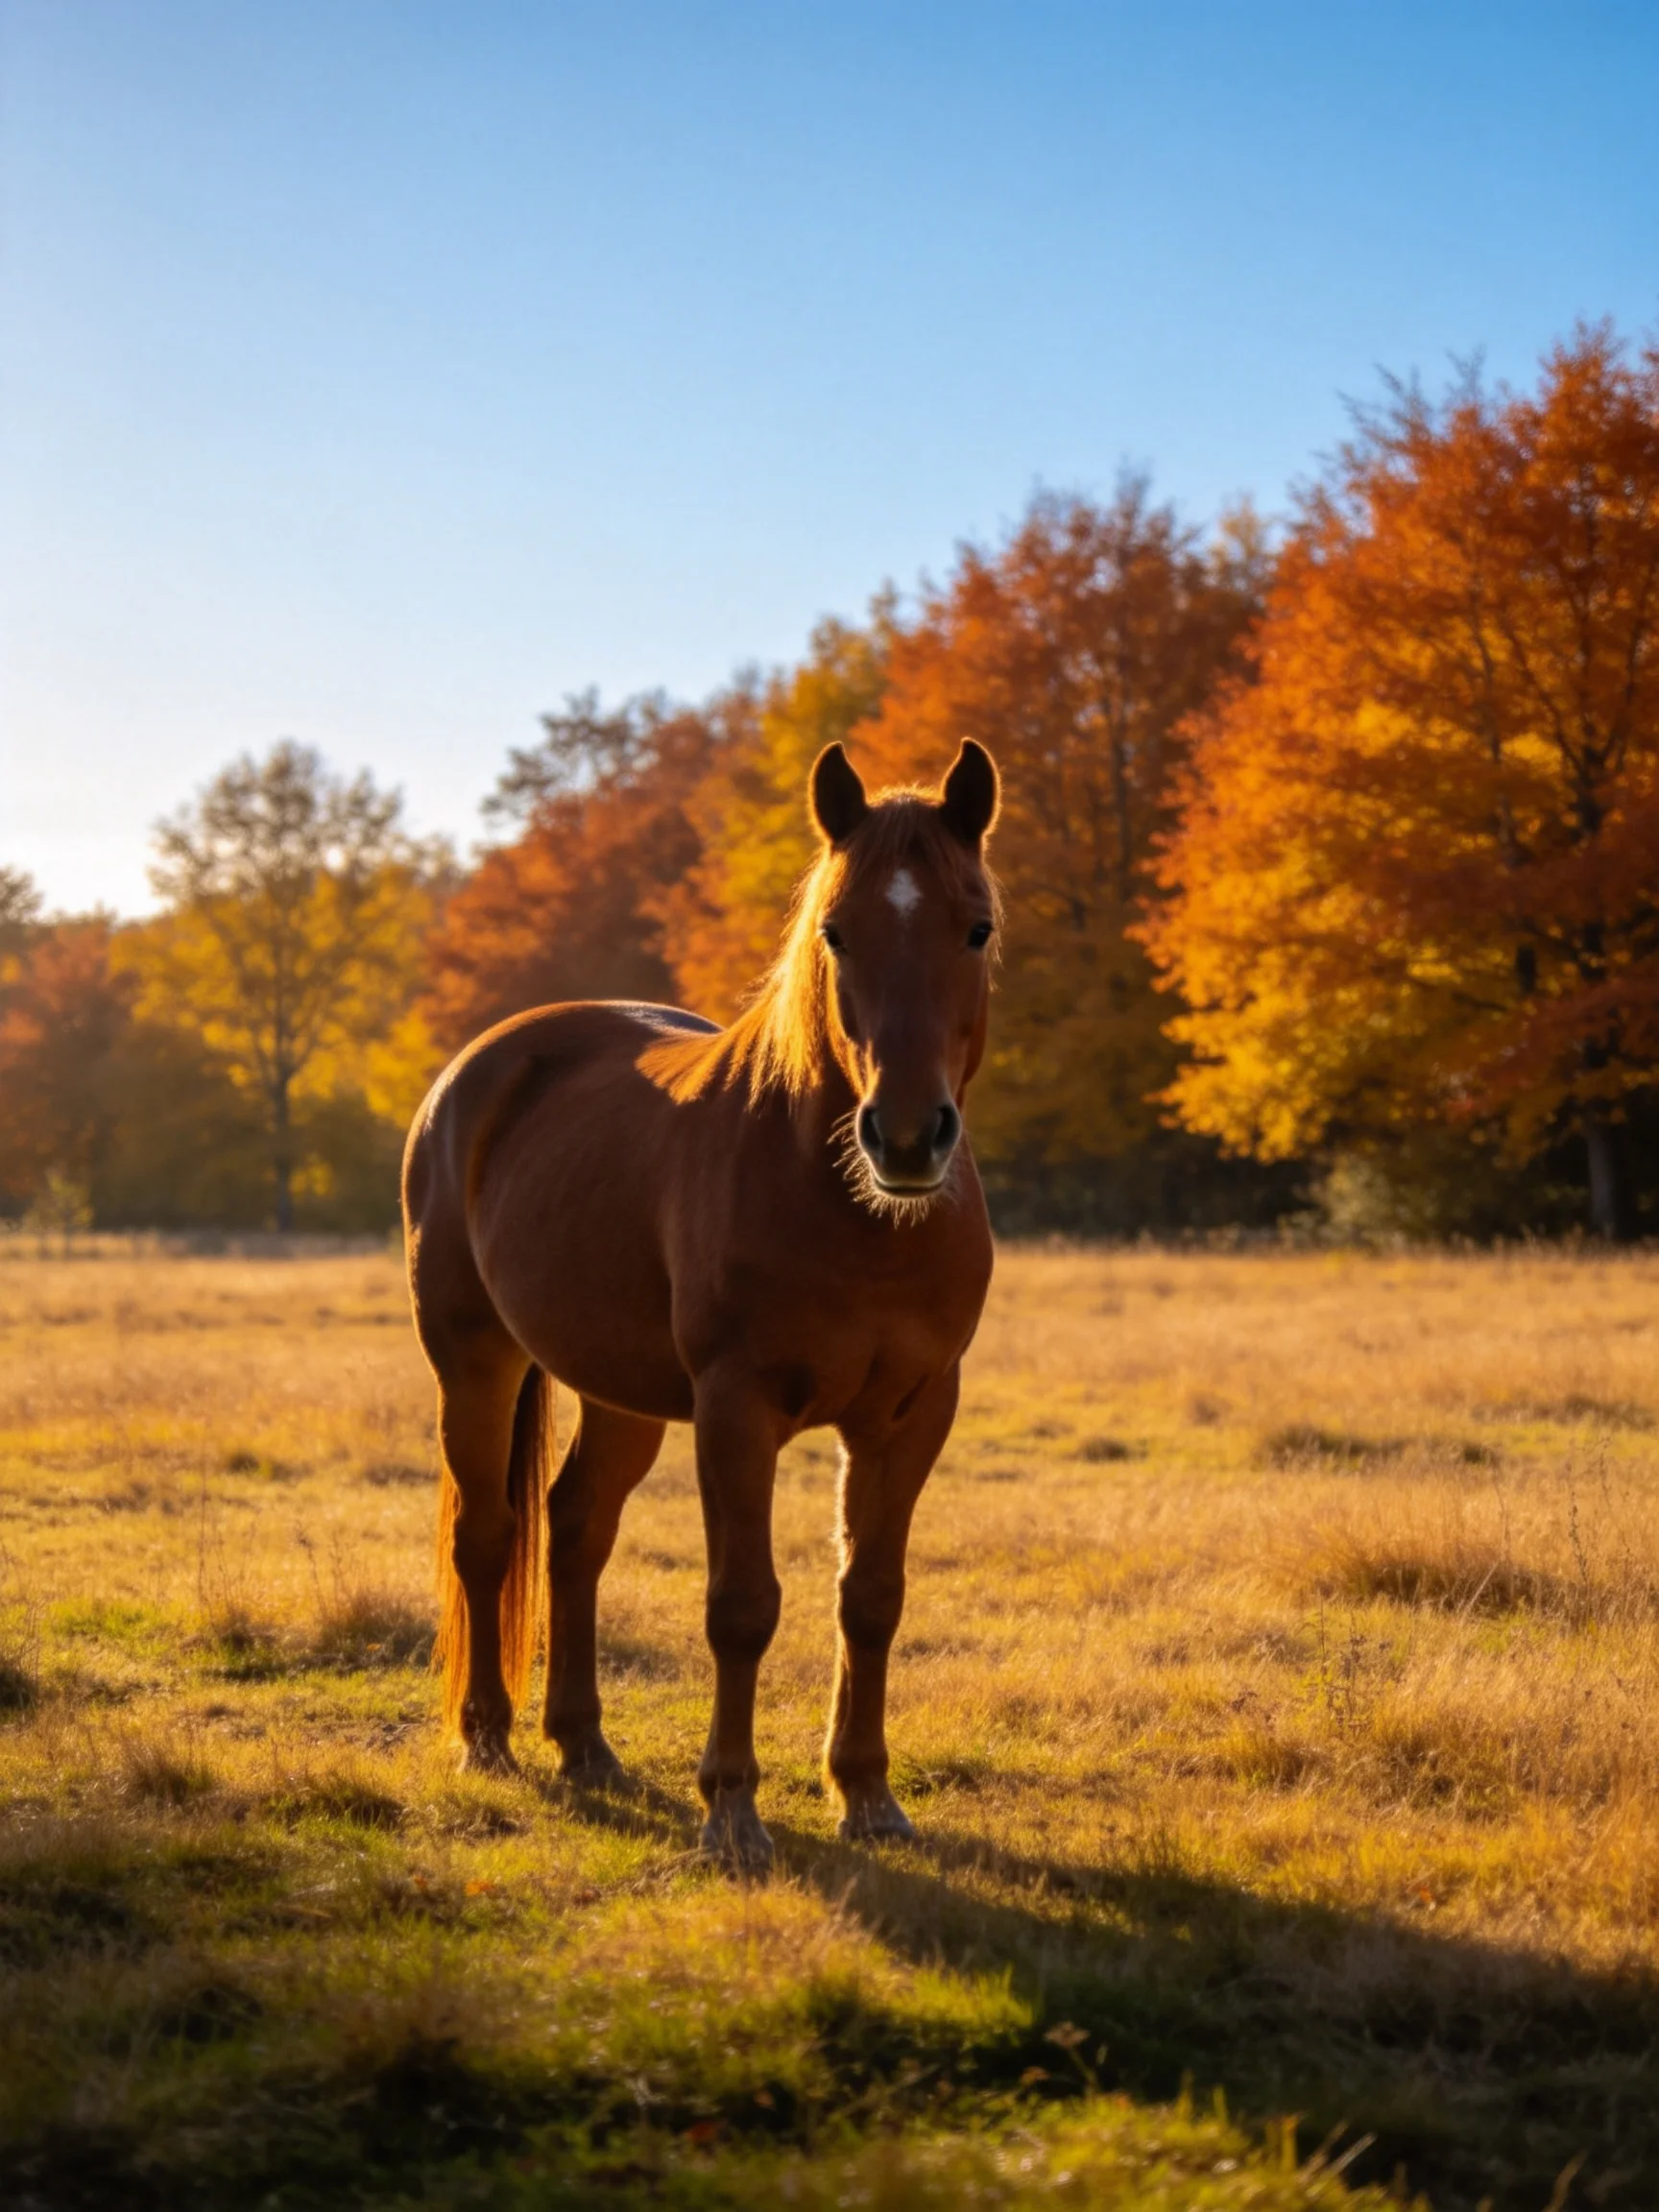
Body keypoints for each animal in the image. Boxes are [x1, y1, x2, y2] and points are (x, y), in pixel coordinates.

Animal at [402, 737, 1001, 1869]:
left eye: (976, 927)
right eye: (836, 931)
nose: (907, 1136)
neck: (850, 1209)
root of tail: (481, 1066)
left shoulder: (912, 1415)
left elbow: (872, 1597)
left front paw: (867, 1795)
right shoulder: (736, 1411)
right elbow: (742, 1606)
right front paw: (731, 1809)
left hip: (620, 1392)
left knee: (575, 1529)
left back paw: (583, 1745)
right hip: (475, 1362)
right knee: (490, 1535)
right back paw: (488, 1740)